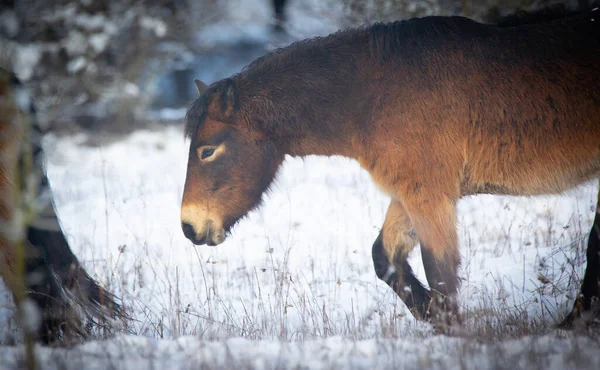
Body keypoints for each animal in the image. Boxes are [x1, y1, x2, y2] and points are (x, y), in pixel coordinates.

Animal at [180, 6, 600, 330]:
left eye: (207, 151)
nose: (188, 227)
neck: (374, 94)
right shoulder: (409, 194)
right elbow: (384, 258)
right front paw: (437, 319)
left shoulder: (428, 196)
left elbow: (441, 274)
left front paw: (459, 335)